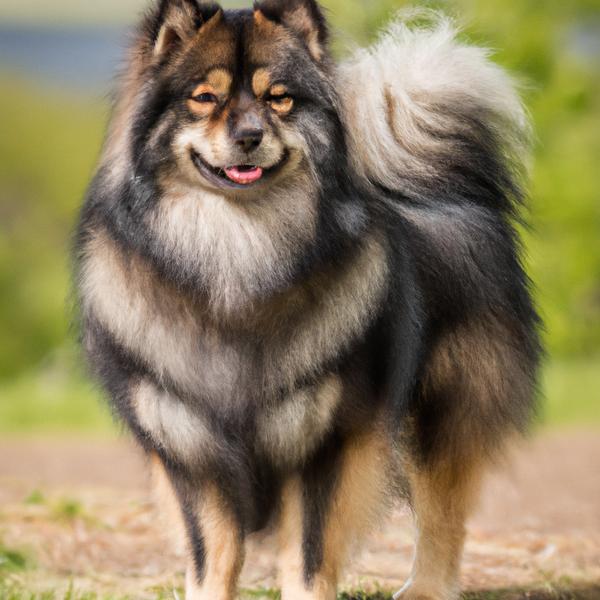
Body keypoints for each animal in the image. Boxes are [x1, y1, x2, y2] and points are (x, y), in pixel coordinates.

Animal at [72, 2, 540, 596]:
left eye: (279, 98)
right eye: (205, 97)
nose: (250, 135)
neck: (237, 256)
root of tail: (443, 190)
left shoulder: (326, 440)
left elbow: (309, 554)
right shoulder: (190, 445)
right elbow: (211, 554)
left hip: (444, 408)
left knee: (443, 511)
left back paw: (426, 587)